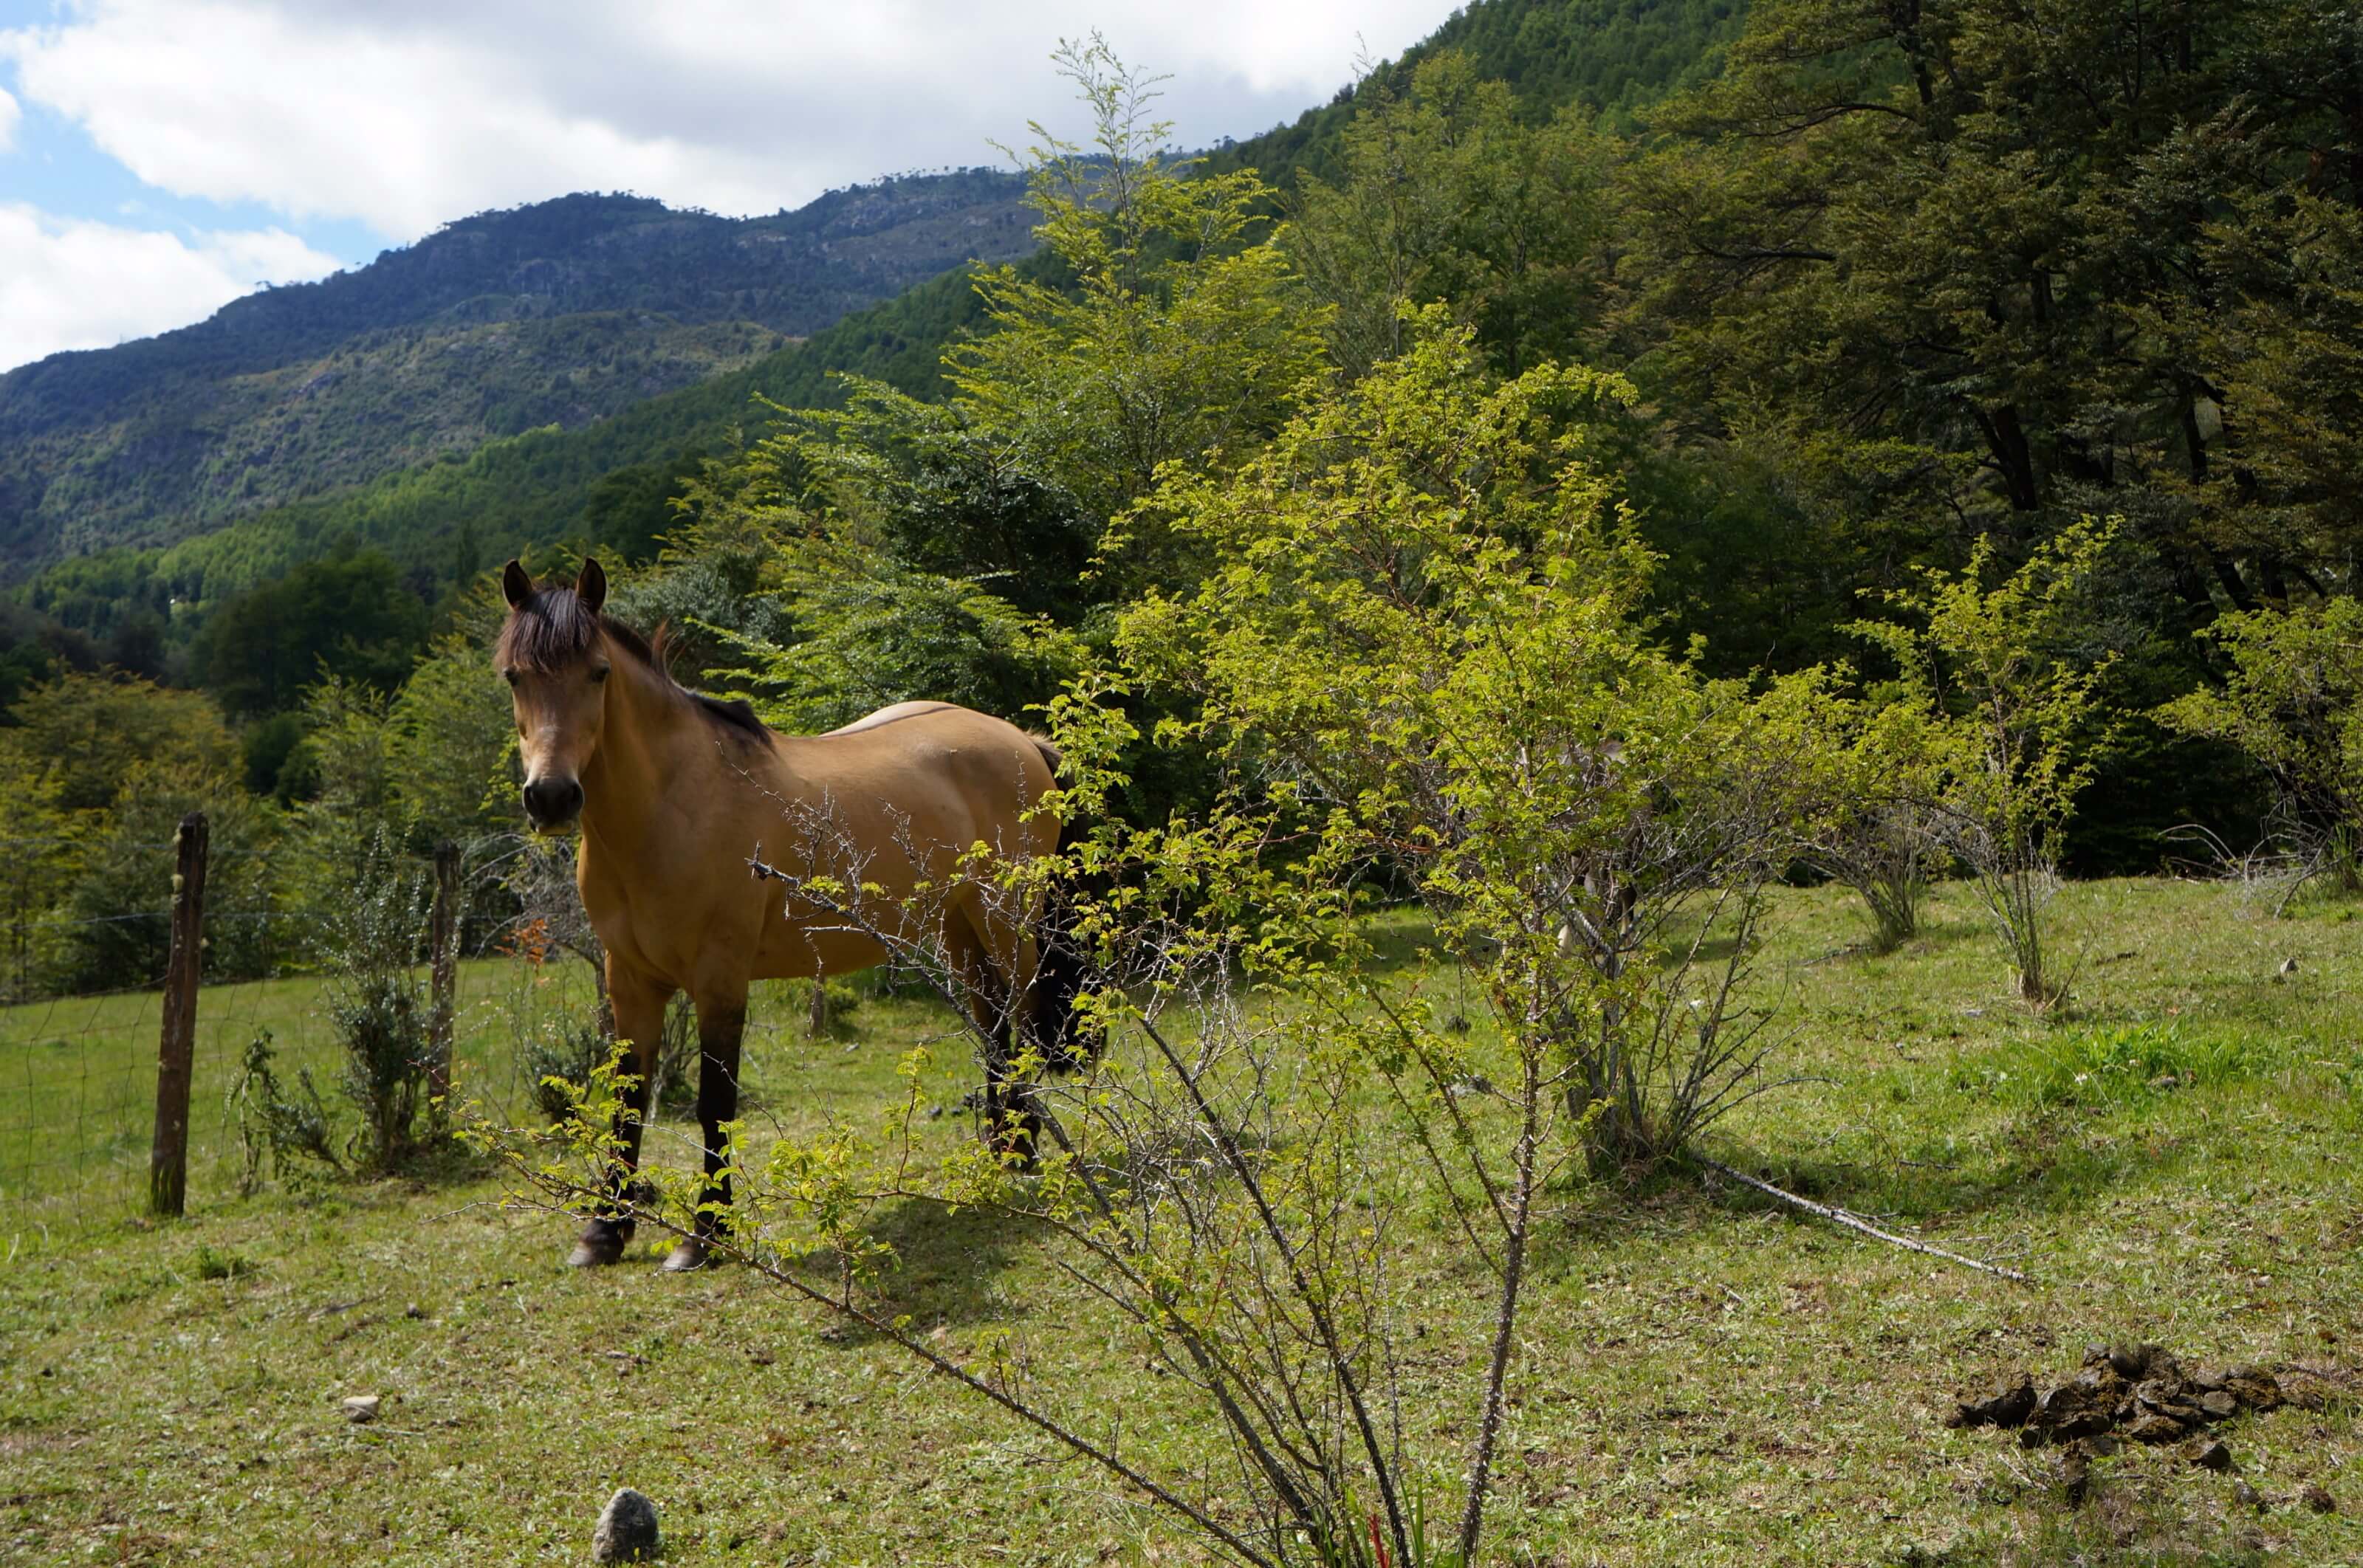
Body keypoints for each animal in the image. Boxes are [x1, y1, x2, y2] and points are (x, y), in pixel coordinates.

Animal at [503, 557, 1091, 1265]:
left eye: (598, 672)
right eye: (513, 676)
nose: (551, 797)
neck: (674, 806)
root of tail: (1020, 742)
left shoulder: (719, 979)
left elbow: (715, 1102)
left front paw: (705, 1235)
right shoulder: (630, 981)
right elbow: (626, 1099)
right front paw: (604, 1230)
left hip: (1007, 922)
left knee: (1022, 1022)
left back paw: (1024, 1154)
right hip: (960, 930)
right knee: (993, 1026)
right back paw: (1002, 1153)